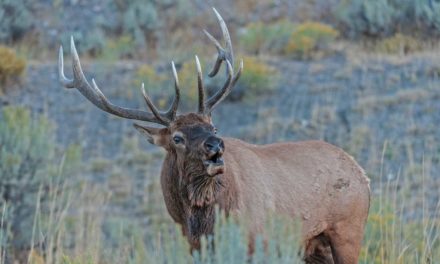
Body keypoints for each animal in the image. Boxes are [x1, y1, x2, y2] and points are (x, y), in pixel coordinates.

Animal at [56, 7, 370, 262]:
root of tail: (362, 175)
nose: (215, 146)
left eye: (214, 127)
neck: (201, 223)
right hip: (314, 246)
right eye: (177, 138)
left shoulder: (256, 241)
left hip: (348, 229)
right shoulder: (194, 247)